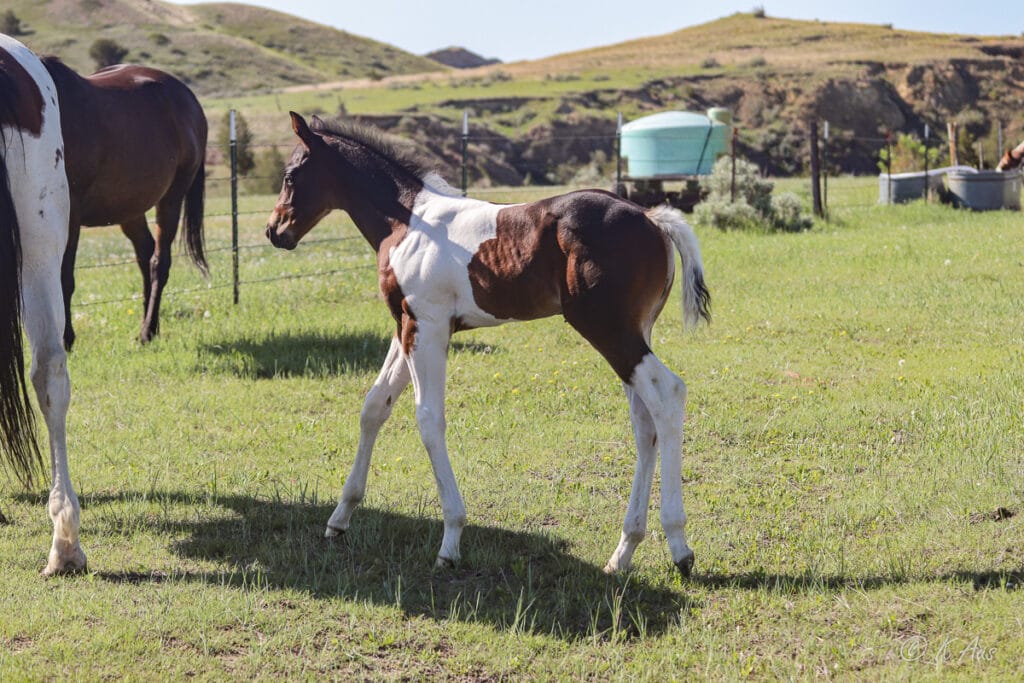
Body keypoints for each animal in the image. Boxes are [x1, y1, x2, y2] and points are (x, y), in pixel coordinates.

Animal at [41, 57, 208, 348]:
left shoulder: (69, 215)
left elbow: (64, 277)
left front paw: (65, 338)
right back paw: (150, 325)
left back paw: (147, 331)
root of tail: (189, 99)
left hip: (171, 199)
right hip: (130, 209)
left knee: (158, 262)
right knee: (145, 254)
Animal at [265, 113, 711, 578]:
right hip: (634, 333)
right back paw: (624, 551)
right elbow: (374, 407)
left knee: (668, 395)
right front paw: (340, 519)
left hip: (608, 329)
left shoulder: (428, 326)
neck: (407, 222)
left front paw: (451, 539)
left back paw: (679, 546)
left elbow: (428, 420)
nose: (274, 231)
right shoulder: (405, 325)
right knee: (645, 422)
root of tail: (652, 217)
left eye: (291, 175)